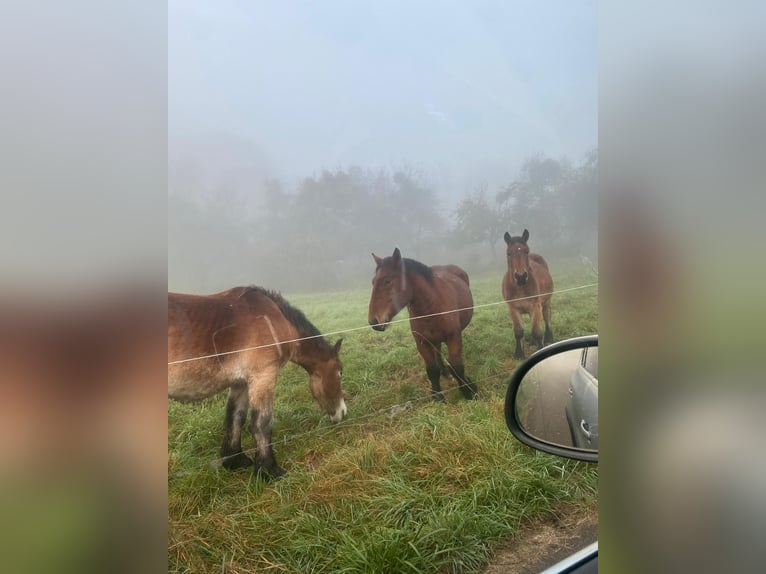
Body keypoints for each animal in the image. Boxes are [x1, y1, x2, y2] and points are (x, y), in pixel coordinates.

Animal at [170, 288, 348, 482]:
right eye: (340, 372)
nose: (343, 412)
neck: (277, 320)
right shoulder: (263, 377)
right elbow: (262, 424)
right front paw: (269, 470)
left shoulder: (240, 383)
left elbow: (235, 418)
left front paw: (235, 460)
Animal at [368, 250, 480, 402]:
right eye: (373, 282)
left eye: (387, 281)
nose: (374, 321)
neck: (432, 307)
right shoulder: (422, 342)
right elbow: (432, 370)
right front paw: (438, 396)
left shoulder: (454, 338)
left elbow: (457, 367)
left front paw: (469, 391)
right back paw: (444, 372)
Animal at [500, 230, 556, 360]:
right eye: (508, 253)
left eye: (526, 251)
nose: (521, 277)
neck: (520, 288)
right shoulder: (513, 309)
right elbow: (518, 331)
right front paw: (519, 354)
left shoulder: (536, 307)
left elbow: (537, 331)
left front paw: (540, 349)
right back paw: (532, 342)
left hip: (545, 303)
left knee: (547, 318)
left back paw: (548, 339)